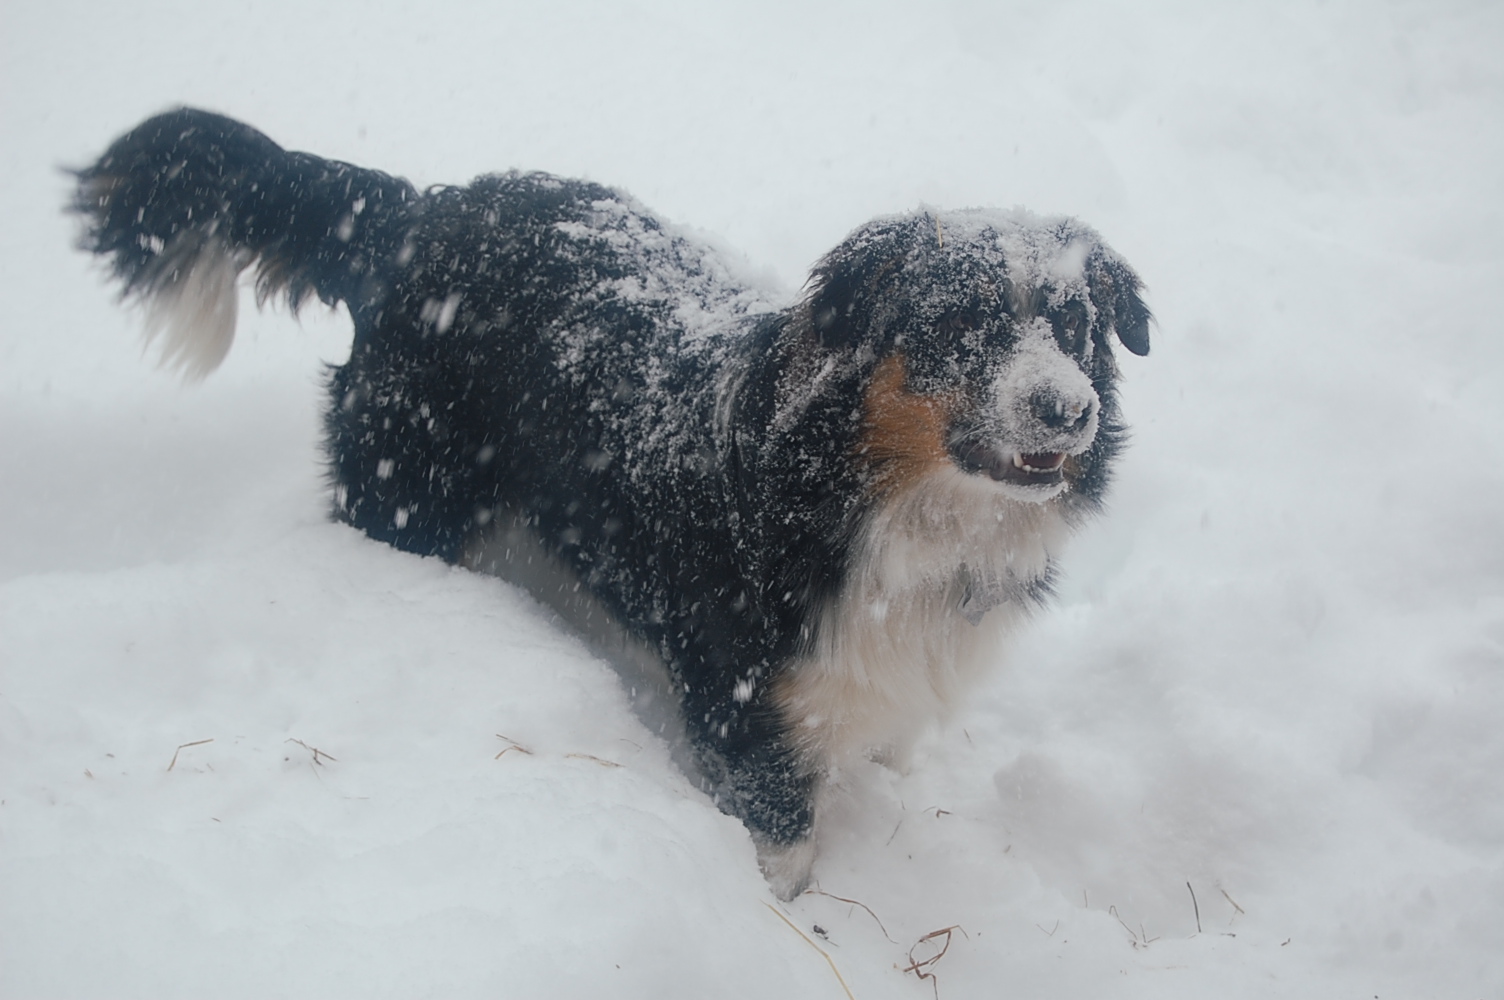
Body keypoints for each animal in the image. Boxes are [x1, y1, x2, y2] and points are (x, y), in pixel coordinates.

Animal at [70, 109, 1149, 896]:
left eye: (1074, 324)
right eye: (959, 322)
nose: (1069, 409)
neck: (872, 499)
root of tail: (420, 214)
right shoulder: (746, 709)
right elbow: (786, 853)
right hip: (410, 493)